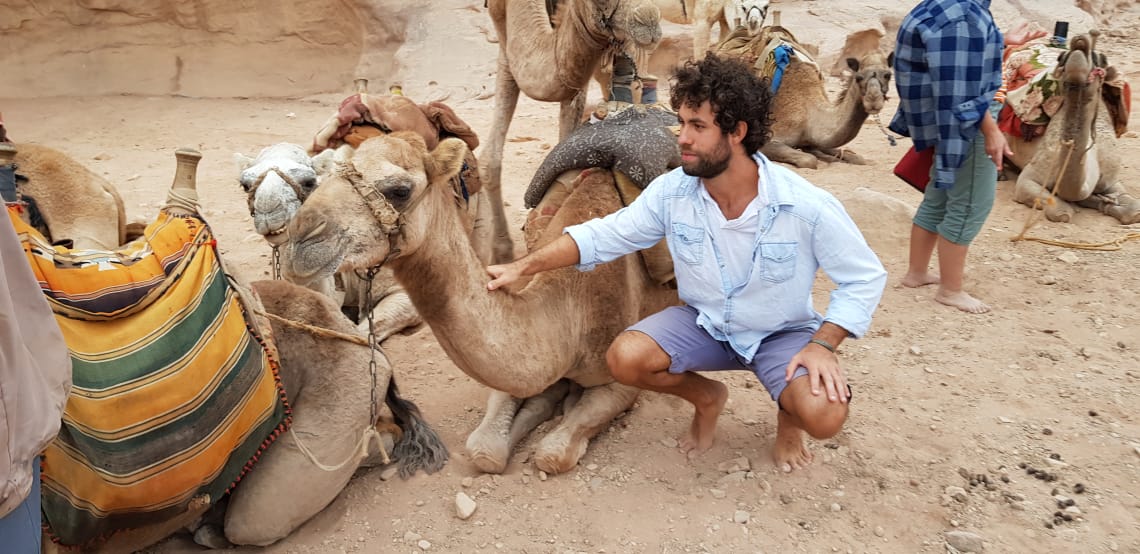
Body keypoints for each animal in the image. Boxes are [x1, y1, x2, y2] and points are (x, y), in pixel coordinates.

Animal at [282, 132, 674, 474]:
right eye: (319, 180)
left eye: (399, 190)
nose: (299, 239)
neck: (569, 309)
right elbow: (485, 449)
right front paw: (549, 400)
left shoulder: (620, 381)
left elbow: (552, 454)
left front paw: (565, 408)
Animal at [1003, 31, 1135, 223]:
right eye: (1061, 58)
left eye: (1101, 59)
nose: (1080, 42)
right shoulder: (1030, 177)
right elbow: (1061, 212)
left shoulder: (1111, 177)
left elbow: (1132, 211)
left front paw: (1105, 202)